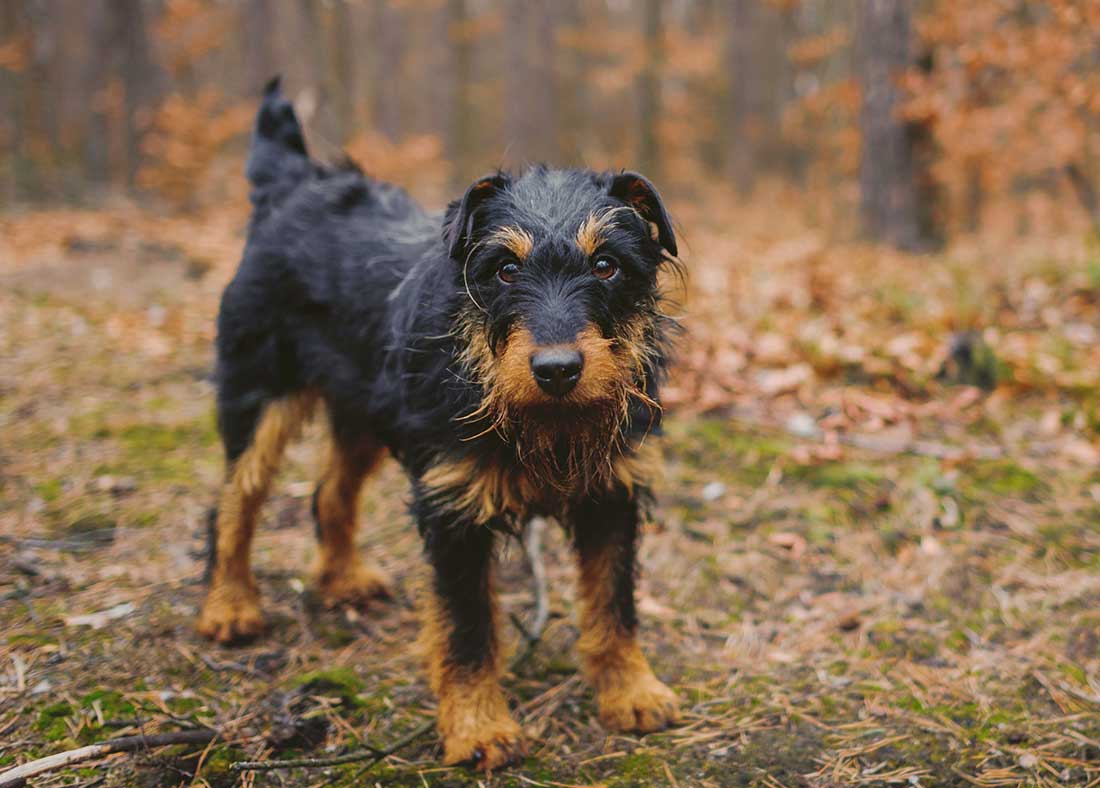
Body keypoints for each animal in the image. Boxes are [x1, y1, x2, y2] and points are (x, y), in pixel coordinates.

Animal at [198, 79, 677, 770]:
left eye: (606, 265)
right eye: (505, 269)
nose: (558, 370)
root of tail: (293, 185)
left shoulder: (611, 496)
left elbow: (614, 603)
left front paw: (630, 692)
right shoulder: (453, 511)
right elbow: (468, 628)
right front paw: (479, 727)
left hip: (362, 412)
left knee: (329, 494)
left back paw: (341, 580)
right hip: (258, 398)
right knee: (234, 502)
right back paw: (230, 605)